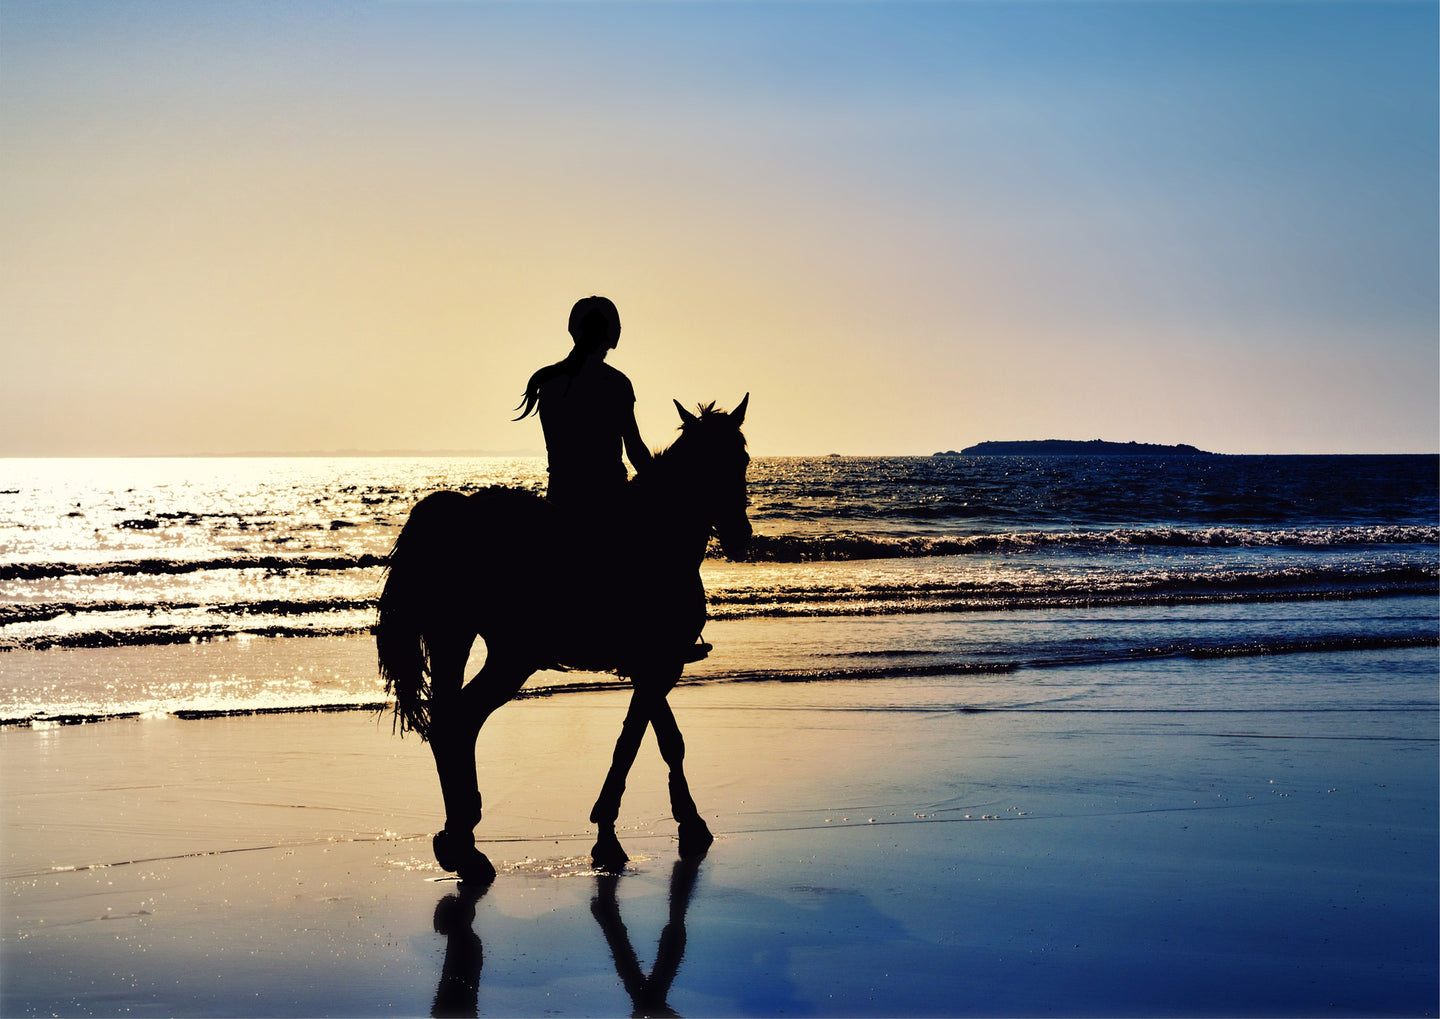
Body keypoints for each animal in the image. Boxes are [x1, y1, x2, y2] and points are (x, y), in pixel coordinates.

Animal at [371, 394, 754, 880]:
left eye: (741, 459)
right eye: (710, 465)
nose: (740, 536)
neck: (653, 537)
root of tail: (457, 515)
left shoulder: (651, 664)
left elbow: (663, 740)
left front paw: (685, 822)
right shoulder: (658, 663)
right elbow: (636, 743)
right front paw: (613, 835)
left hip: (453, 640)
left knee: (448, 723)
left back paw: (459, 842)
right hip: (511, 655)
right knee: (460, 720)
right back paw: (464, 843)